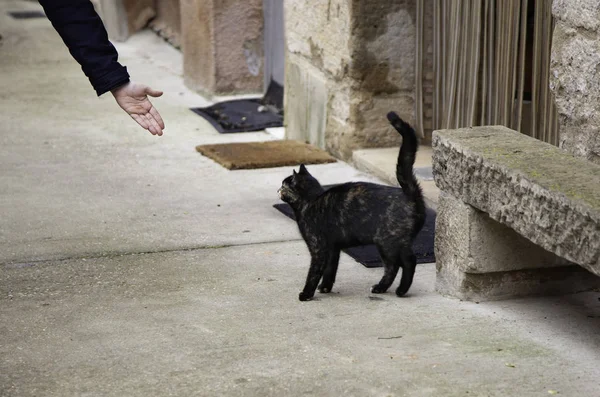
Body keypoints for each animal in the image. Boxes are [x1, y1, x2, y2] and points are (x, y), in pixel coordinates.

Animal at [278, 111, 424, 300]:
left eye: (284, 185)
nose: (278, 190)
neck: (312, 200)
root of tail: (410, 194)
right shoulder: (333, 249)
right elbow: (330, 270)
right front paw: (325, 288)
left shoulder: (318, 248)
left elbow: (314, 272)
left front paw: (306, 293)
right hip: (389, 244)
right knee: (393, 267)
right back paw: (381, 288)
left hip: (389, 242)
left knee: (407, 262)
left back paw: (401, 290)